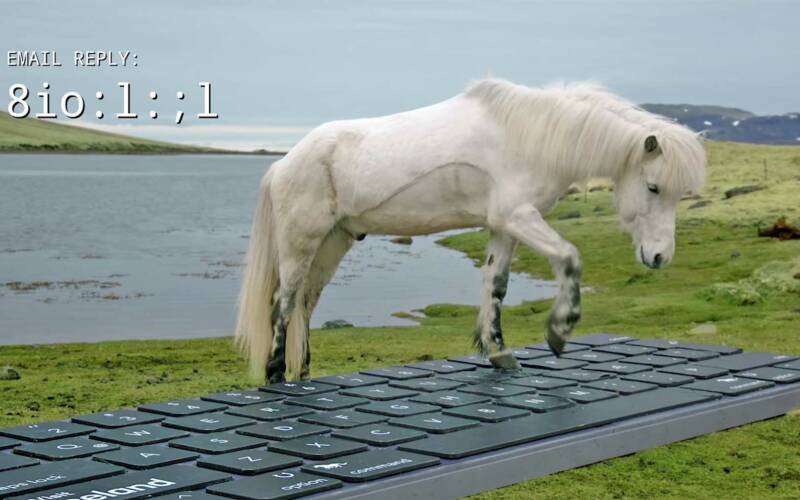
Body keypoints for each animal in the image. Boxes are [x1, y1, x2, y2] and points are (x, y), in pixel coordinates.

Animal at [235, 78, 706, 383]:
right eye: (653, 187)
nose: (660, 257)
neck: (531, 135)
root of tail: (285, 162)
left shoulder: (505, 226)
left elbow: (495, 285)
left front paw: (498, 352)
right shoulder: (519, 217)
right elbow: (569, 258)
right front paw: (558, 332)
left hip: (334, 243)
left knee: (305, 304)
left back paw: (302, 372)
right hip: (300, 243)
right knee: (283, 303)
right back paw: (275, 375)